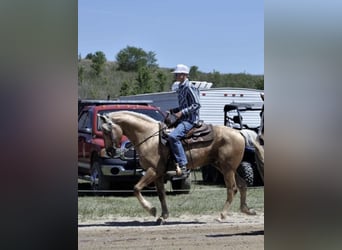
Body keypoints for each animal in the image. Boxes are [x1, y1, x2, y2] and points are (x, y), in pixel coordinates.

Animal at [99, 111, 260, 225]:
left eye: (106, 131)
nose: (110, 151)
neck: (149, 137)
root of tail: (239, 132)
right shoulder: (158, 174)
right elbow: (161, 194)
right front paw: (163, 217)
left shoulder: (153, 170)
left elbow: (136, 188)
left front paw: (151, 210)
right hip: (225, 167)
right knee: (242, 185)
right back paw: (247, 210)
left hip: (228, 168)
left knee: (232, 188)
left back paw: (222, 216)